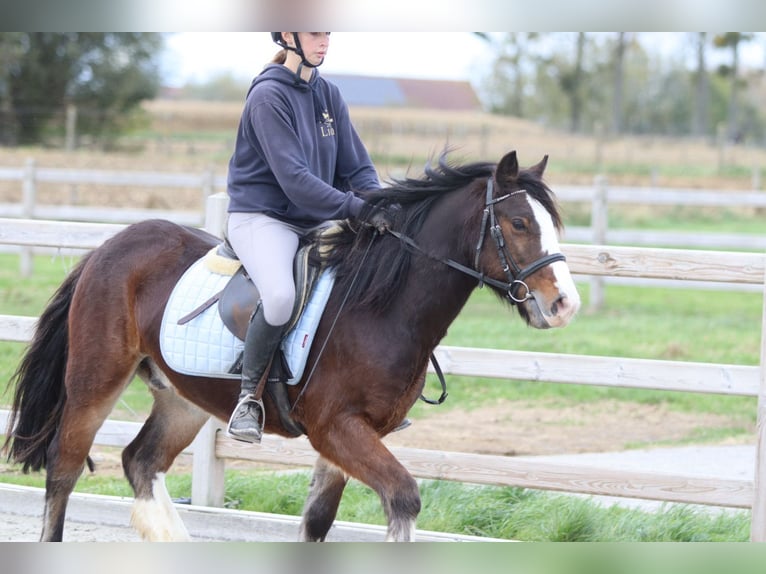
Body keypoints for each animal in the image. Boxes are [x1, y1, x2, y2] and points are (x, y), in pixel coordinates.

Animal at [3, 149, 580, 542]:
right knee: (64, 468)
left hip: (182, 398)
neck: (381, 308)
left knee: (140, 462)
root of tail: (109, 246)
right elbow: (403, 498)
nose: (563, 305)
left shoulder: (353, 436)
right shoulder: (337, 428)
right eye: (519, 222)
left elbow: (318, 522)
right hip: (95, 381)